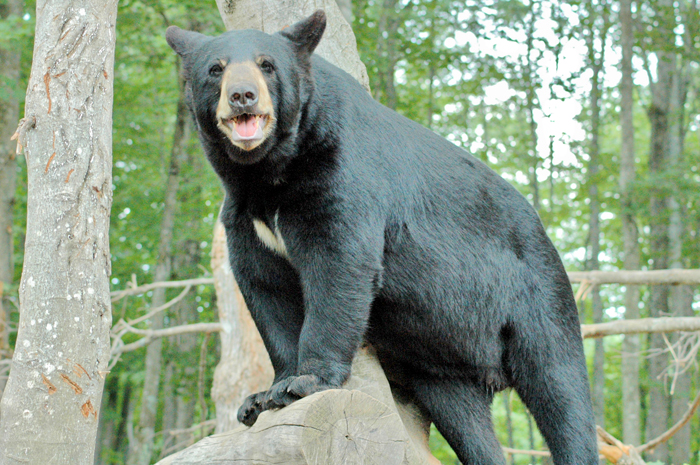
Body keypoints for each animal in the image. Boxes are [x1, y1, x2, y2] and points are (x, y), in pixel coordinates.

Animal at [168, 11, 596, 464]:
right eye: (216, 69)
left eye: (266, 64)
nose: (243, 96)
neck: (266, 173)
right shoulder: (243, 215)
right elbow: (265, 288)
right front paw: (262, 395)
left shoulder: (342, 173)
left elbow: (338, 263)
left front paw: (305, 382)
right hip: (440, 365)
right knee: (467, 422)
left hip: (539, 295)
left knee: (560, 385)